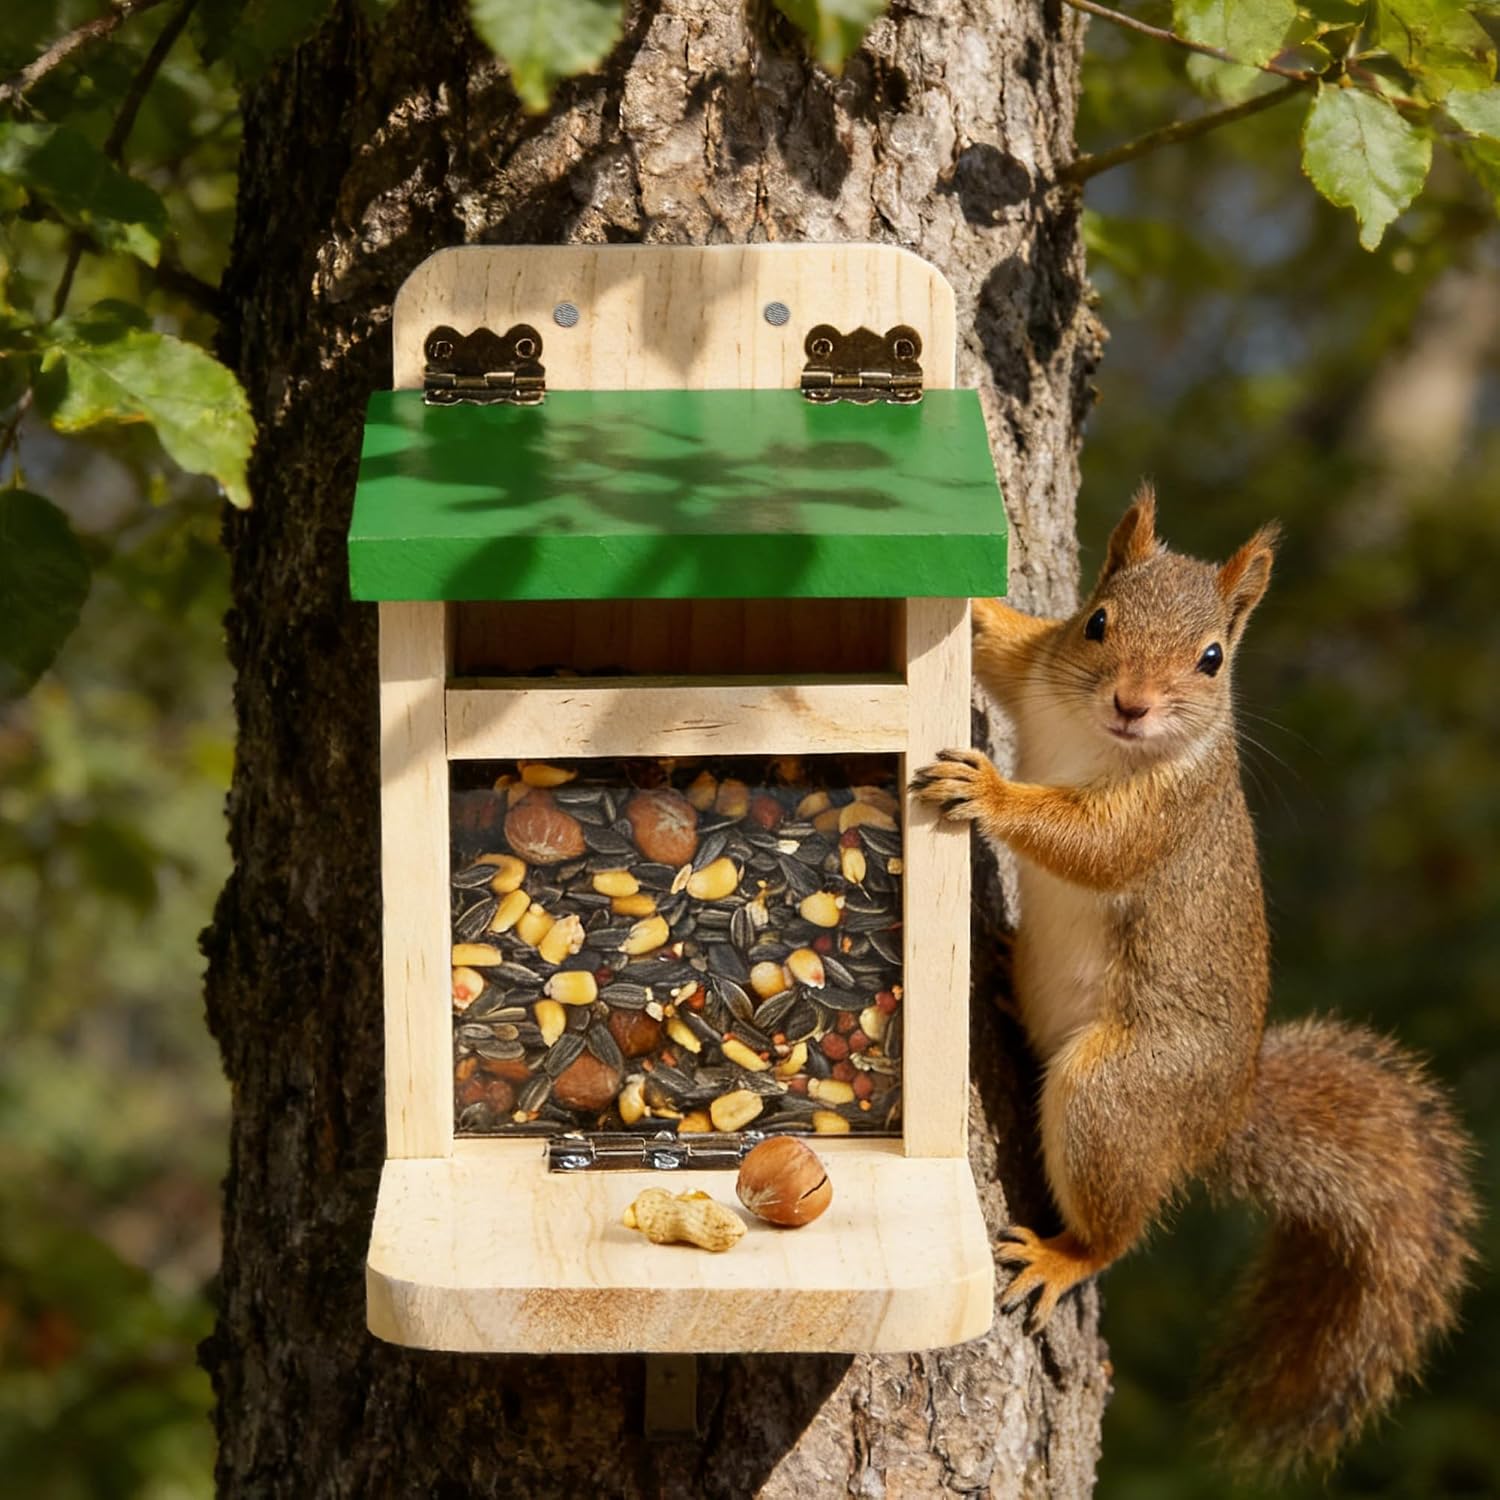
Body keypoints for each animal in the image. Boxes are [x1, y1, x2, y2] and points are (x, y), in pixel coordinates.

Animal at [910, 486, 1477, 1471]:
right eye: (1097, 622)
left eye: (1213, 658)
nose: (1133, 706)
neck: (1094, 738)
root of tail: (1220, 1118)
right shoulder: (1040, 669)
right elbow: (1000, 638)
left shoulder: (1160, 816)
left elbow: (1088, 843)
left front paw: (992, 795)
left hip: (1120, 1093)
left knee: (1119, 1226)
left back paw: (1064, 1255)